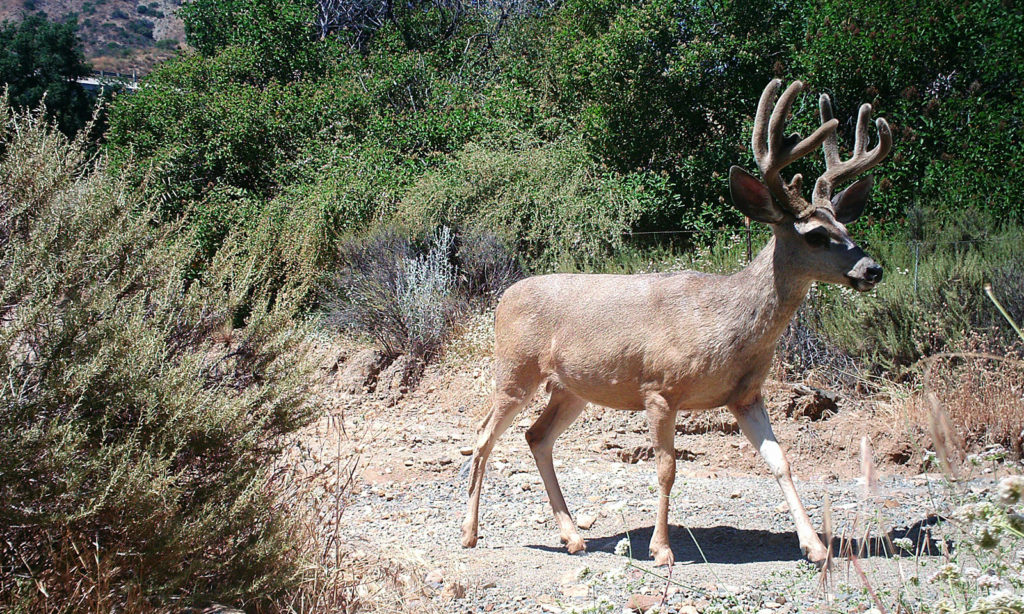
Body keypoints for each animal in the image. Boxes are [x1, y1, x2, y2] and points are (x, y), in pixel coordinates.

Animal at [460, 80, 892, 564]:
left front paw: (816, 546)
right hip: (515, 370)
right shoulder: (659, 389)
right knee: (482, 435)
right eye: (816, 235)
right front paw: (662, 549)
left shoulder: (745, 395)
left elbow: (780, 460)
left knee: (536, 436)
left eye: (846, 228)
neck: (726, 326)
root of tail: (503, 298)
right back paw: (470, 532)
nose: (872, 269)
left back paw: (573, 537)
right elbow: (666, 468)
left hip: (573, 389)